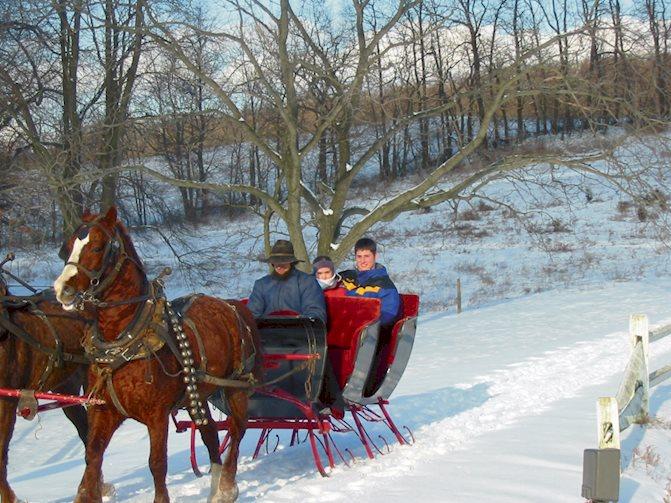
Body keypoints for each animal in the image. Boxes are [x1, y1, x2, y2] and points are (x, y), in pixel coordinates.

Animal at [53, 207, 264, 502]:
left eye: (96, 246)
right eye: (66, 247)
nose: (62, 289)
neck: (123, 339)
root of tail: (231, 304)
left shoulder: (157, 415)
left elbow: (157, 463)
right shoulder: (103, 411)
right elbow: (92, 457)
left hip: (236, 386)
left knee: (237, 428)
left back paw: (226, 486)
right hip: (197, 394)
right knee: (210, 433)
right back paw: (215, 489)